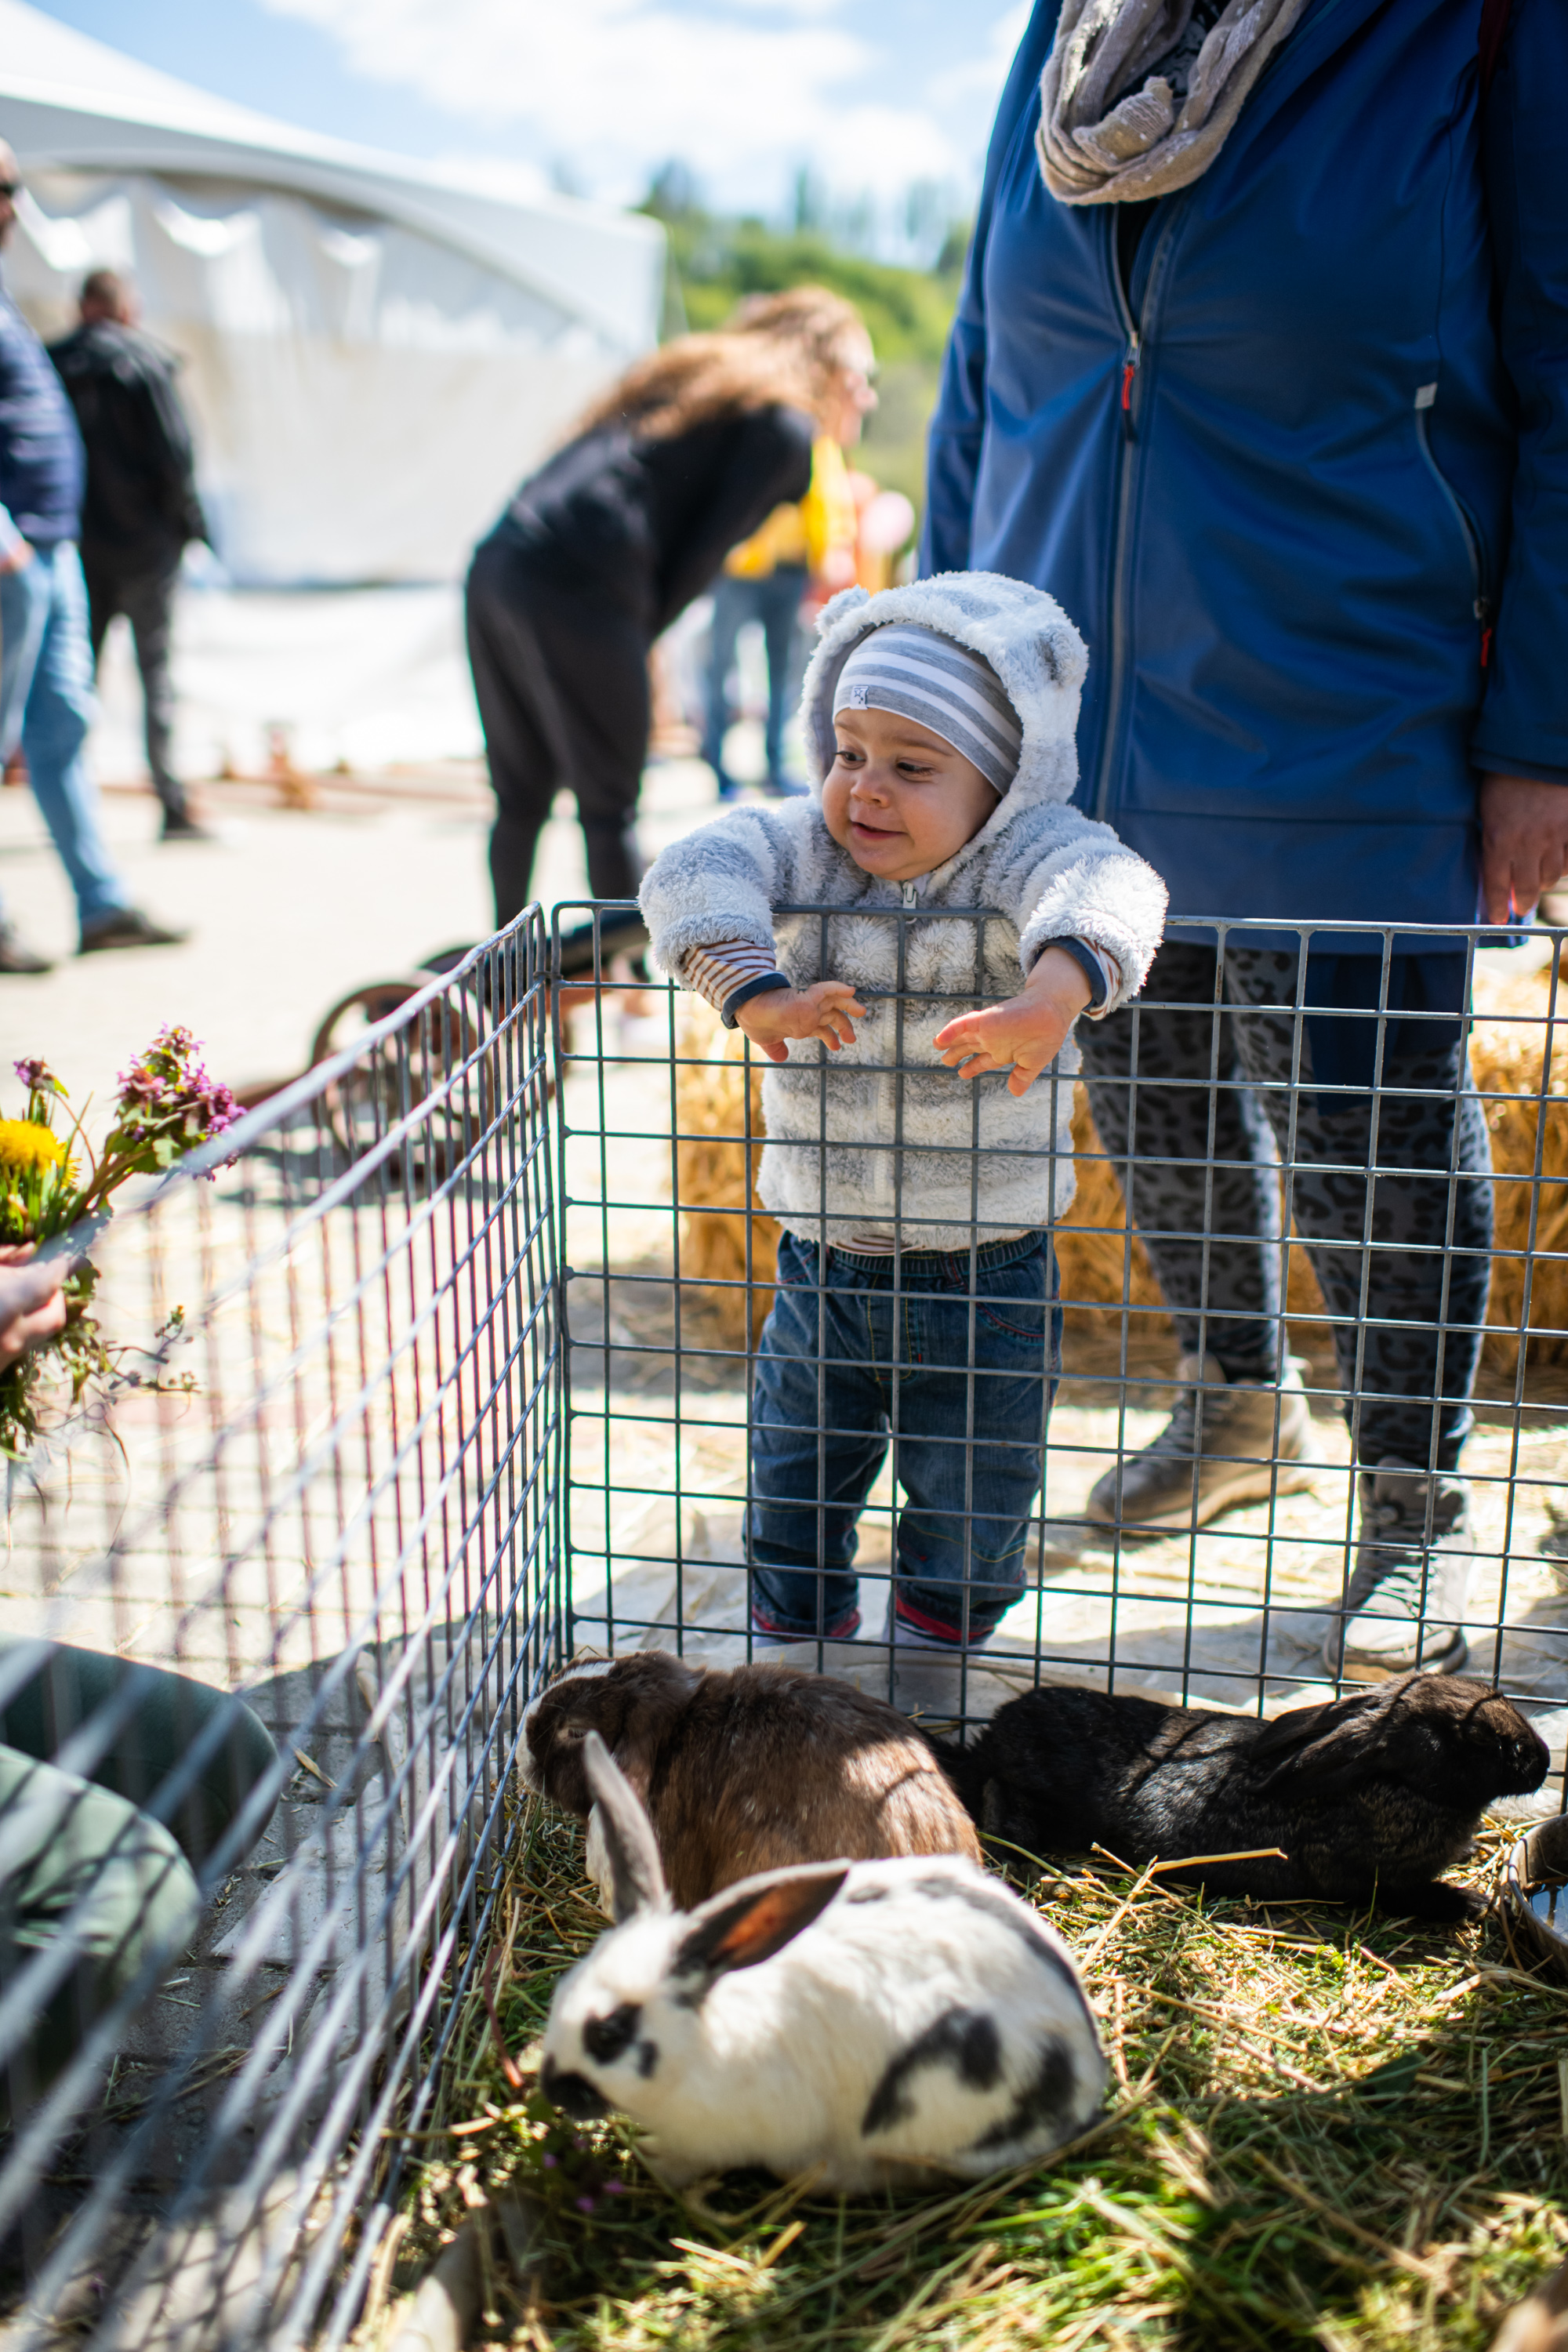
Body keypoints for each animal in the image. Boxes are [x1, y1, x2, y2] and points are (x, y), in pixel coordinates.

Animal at [545, 1731, 1109, 2183]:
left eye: (608, 2033)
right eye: (561, 1994)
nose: (552, 2088)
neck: (707, 2036)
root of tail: (1091, 2065)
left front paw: (654, 2161)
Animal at [940, 1665, 1552, 1919]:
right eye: (1476, 1740)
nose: (1544, 1763)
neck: (1386, 1784)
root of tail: (992, 1737)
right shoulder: (1367, 1882)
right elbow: (1405, 1895)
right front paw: (1468, 1903)